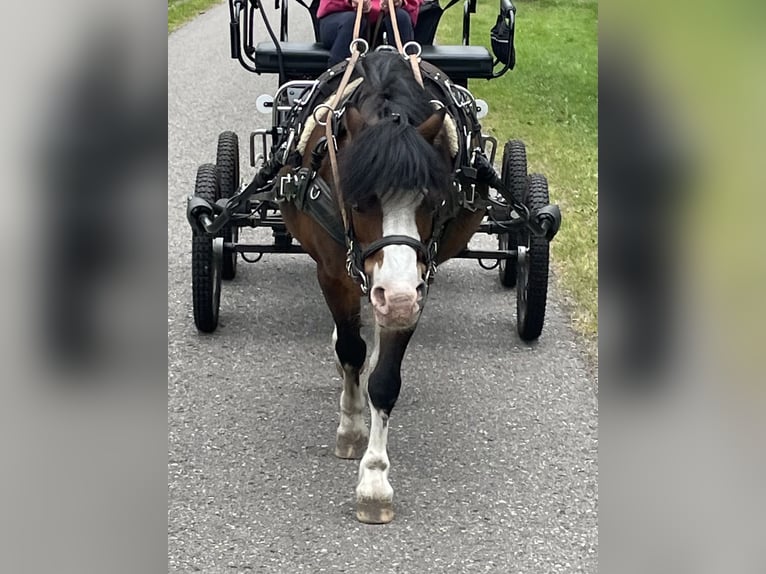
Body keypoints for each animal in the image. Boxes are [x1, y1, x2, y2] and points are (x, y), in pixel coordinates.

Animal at [279, 51, 487, 523]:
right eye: (358, 201)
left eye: (434, 199)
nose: (396, 296)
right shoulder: (334, 275)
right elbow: (351, 350)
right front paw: (352, 426)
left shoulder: (417, 285)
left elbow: (384, 379)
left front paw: (374, 480)